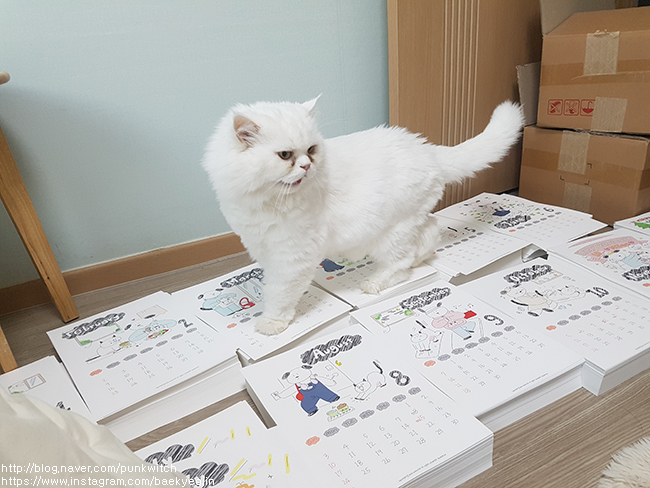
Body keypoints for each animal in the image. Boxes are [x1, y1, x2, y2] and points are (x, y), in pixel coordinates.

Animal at [202, 96, 524, 335]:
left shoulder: (292, 256)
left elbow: (280, 293)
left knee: (402, 263)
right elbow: (270, 284)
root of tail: (428, 150)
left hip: (391, 232)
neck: (264, 201)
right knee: (429, 234)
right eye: (285, 155)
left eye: (311, 150)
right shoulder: (262, 246)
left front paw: (272, 321)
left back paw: (376, 281)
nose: (307, 166)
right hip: (408, 222)